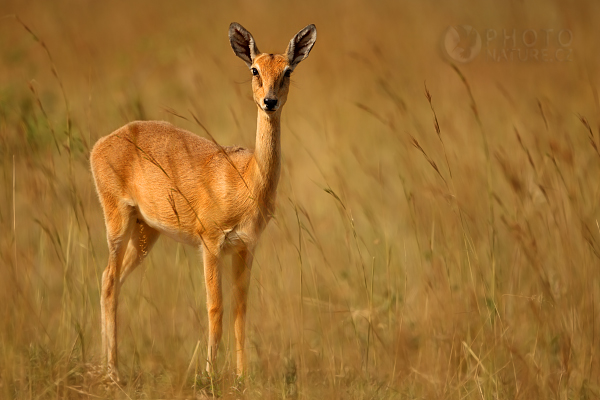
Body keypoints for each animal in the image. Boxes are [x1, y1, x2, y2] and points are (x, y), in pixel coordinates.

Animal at [90, 21, 318, 378]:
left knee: (112, 280)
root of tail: (104, 141)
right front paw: (210, 376)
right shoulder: (210, 244)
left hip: (146, 232)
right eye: (254, 69)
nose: (269, 101)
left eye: (288, 71)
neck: (244, 179)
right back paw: (111, 370)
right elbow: (216, 308)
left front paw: (242, 378)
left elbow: (240, 311)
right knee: (109, 279)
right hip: (118, 221)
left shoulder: (245, 248)